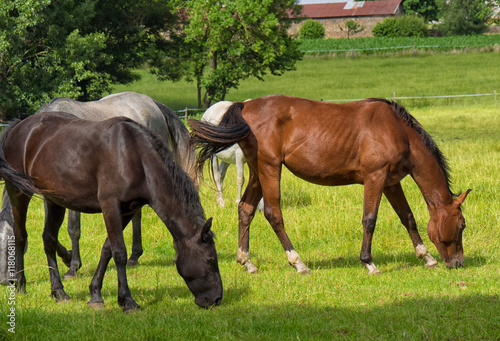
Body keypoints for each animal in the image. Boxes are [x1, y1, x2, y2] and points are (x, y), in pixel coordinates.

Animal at [0, 112, 223, 310]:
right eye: (210, 260)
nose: (216, 299)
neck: (136, 156)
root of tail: (19, 126)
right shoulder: (110, 206)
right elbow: (120, 253)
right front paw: (127, 300)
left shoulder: (127, 211)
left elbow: (107, 250)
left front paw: (95, 294)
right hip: (19, 192)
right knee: (20, 236)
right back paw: (20, 285)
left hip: (54, 201)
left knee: (49, 240)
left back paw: (59, 291)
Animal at [189, 95, 470, 274]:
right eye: (462, 225)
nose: (458, 263)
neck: (397, 130)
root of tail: (245, 106)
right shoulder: (375, 178)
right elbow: (370, 219)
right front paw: (369, 262)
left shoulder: (391, 183)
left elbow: (407, 217)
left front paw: (426, 256)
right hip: (270, 168)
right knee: (273, 213)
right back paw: (298, 262)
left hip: (257, 171)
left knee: (246, 209)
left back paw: (246, 262)